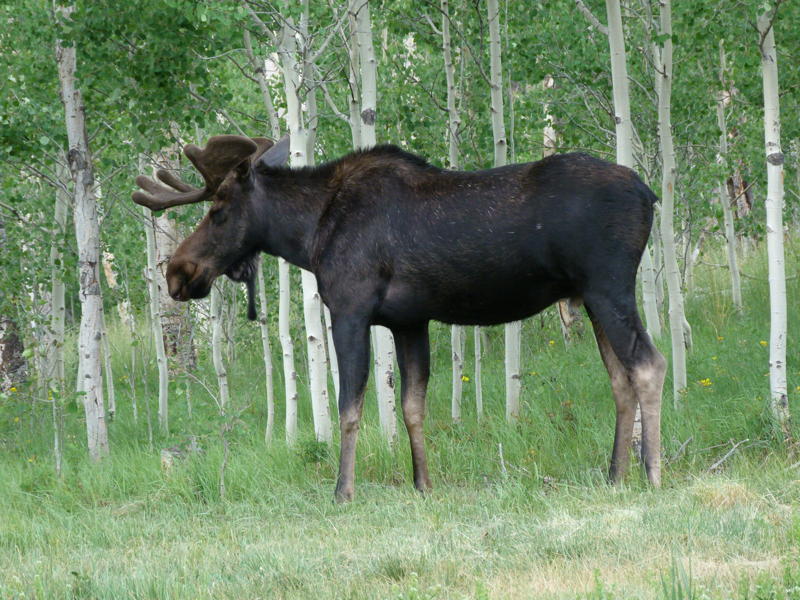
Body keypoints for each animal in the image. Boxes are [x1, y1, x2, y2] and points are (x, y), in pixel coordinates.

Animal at [133, 134, 666, 502]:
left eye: (219, 210)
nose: (177, 273)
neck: (308, 236)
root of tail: (650, 195)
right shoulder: (410, 321)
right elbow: (412, 406)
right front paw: (422, 484)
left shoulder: (350, 309)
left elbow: (349, 408)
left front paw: (343, 491)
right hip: (590, 297)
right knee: (619, 378)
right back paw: (614, 474)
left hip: (608, 284)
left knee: (649, 364)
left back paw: (652, 473)